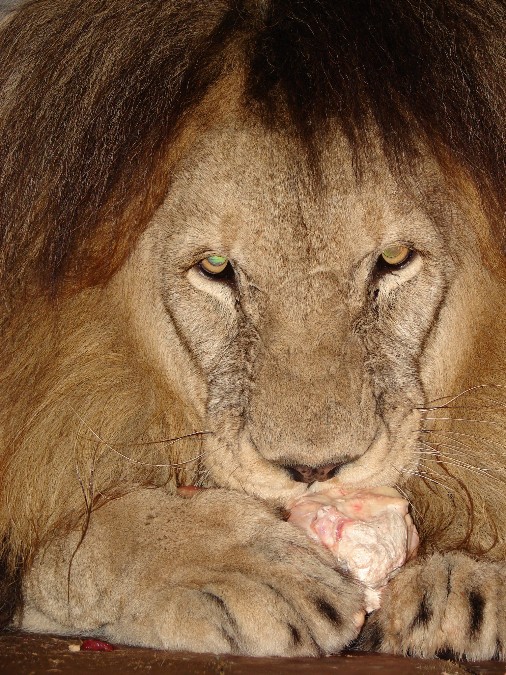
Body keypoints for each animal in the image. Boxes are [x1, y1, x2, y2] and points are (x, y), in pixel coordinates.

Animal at [0, 0, 505, 660]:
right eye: (216, 267)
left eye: (395, 258)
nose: (315, 473)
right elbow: (90, 534)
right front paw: (249, 567)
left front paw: (465, 578)